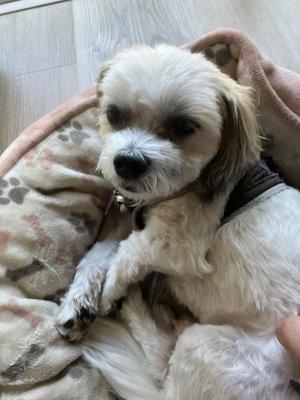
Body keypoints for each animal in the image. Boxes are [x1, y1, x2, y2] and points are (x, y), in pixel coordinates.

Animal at [56, 45, 300, 398]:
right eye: (114, 114)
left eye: (184, 126)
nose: (128, 161)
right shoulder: (127, 220)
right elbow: (99, 252)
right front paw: (77, 303)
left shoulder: (179, 247)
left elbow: (127, 252)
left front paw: (111, 289)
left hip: (210, 347)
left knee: (161, 365)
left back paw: (135, 308)